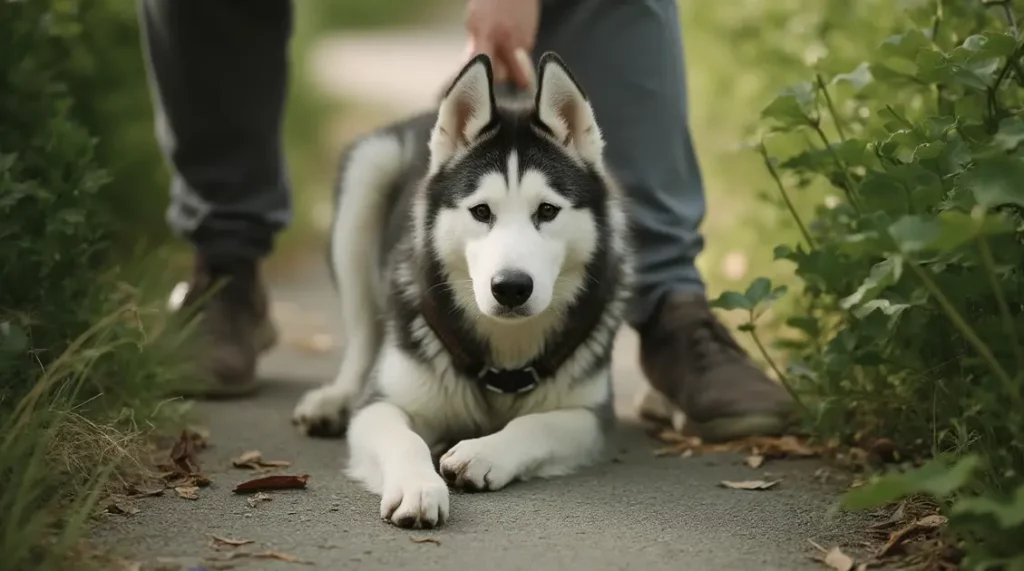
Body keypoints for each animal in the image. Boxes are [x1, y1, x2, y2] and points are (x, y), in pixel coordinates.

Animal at [288, 51, 634, 532]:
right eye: (481, 211)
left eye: (547, 211)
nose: (511, 288)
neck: (505, 358)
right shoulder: (385, 405)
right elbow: (404, 438)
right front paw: (417, 487)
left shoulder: (591, 415)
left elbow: (538, 424)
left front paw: (484, 452)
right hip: (367, 177)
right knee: (362, 338)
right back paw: (335, 398)